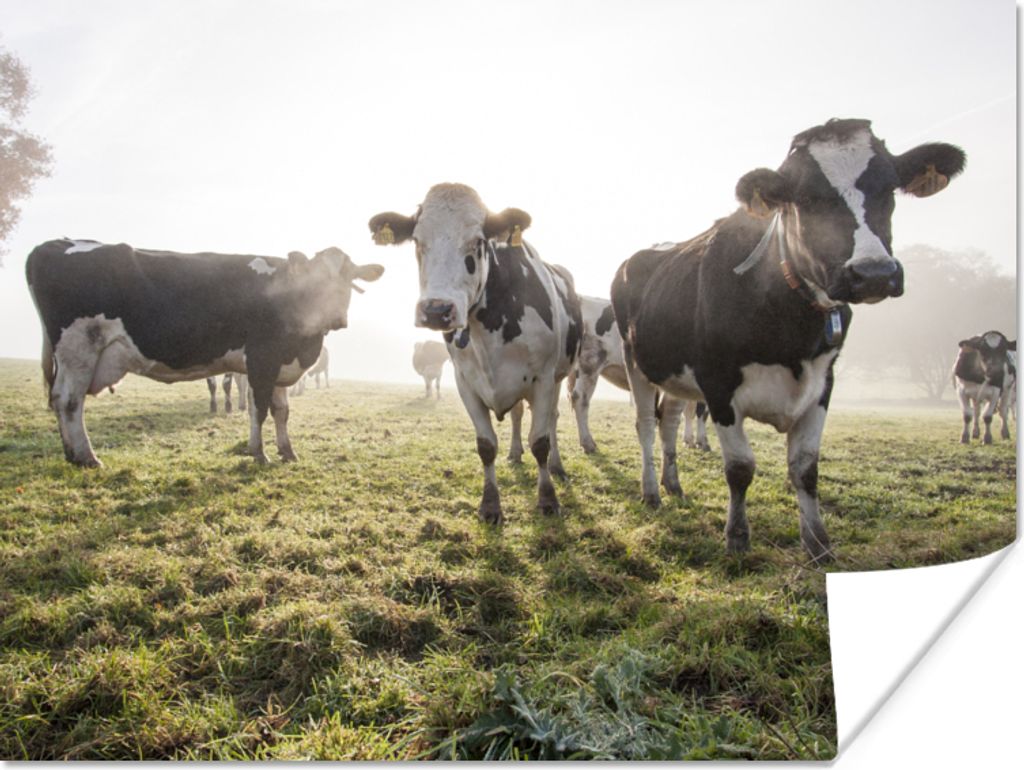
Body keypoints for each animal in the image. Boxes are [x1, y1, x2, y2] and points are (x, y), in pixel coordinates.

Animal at [26, 240, 383, 467]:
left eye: (349, 279)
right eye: (316, 279)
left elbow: (282, 411)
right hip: (79, 347)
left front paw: (288, 452)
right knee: (68, 401)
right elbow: (259, 410)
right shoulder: (261, 359)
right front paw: (259, 454)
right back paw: (86, 457)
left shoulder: (281, 363)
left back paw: (72, 454)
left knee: (62, 401)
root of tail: (55, 243)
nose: (336, 318)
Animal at [370, 183, 582, 523]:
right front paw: (490, 505)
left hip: (560, 375)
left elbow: (540, 442)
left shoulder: (544, 378)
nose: (437, 310)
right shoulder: (465, 382)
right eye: (417, 240)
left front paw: (548, 499)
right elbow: (486, 446)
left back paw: (557, 467)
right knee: (518, 415)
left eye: (478, 241)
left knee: (551, 419)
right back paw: (514, 453)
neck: (491, 324)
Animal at [568, 294, 709, 455]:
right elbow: (701, 412)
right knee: (580, 398)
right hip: (590, 364)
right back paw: (588, 443)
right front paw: (702, 442)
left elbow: (689, 411)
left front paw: (689, 440)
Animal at [611, 118, 965, 562]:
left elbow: (805, 468)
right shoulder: (718, 383)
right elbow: (740, 467)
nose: (873, 273)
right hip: (637, 362)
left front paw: (818, 543)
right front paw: (737, 537)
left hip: (676, 374)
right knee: (644, 424)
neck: (789, 324)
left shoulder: (822, 383)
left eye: (888, 188)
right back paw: (651, 492)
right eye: (807, 198)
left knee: (669, 422)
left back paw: (673, 485)